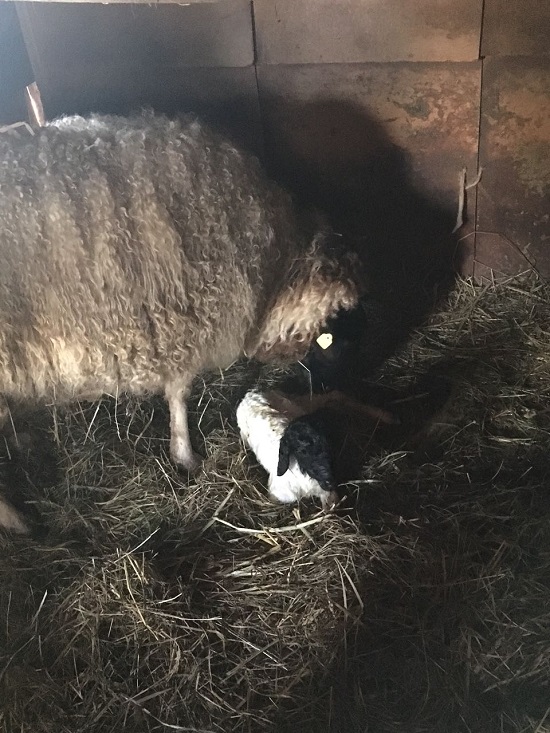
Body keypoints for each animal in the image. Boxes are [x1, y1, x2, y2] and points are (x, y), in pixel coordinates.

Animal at [0, 110, 361, 532]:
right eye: (332, 322)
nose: (302, 363)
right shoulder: (183, 315)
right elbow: (179, 394)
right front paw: (186, 455)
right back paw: (17, 522)